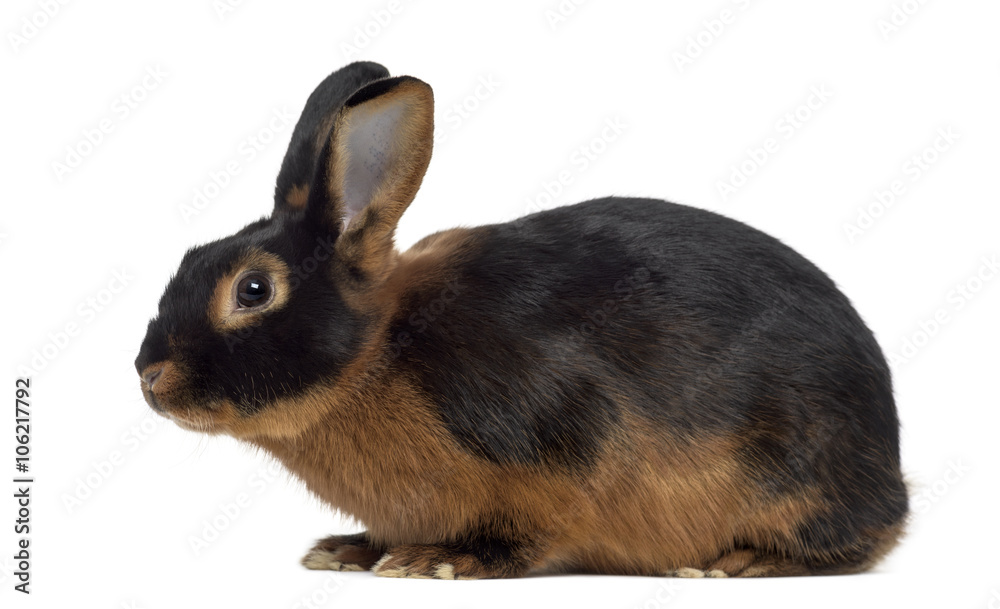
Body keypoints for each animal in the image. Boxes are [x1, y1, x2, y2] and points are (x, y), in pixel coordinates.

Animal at [135, 61, 908, 579]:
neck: (379, 349)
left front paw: (435, 561)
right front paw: (346, 551)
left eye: (254, 288)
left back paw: (743, 561)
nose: (149, 375)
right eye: (190, 258)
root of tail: (891, 468)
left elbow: (530, 527)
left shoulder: (560, 443)